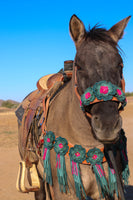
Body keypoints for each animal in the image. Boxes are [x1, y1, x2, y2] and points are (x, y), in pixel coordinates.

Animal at [15, 15, 131, 200]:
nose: (107, 126)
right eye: (80, 66)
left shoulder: (106, 190)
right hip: (37, 174)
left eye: (120, 65)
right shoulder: (65, 192)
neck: (87, 144)